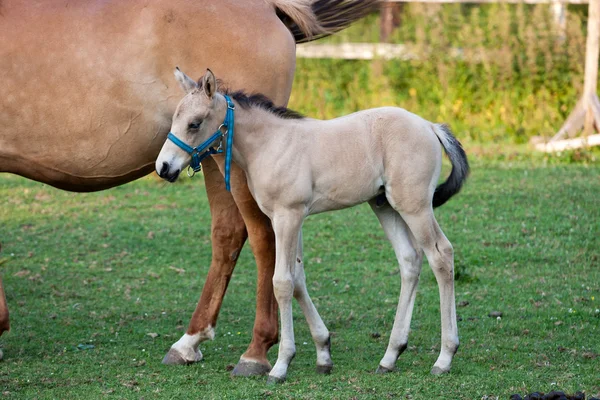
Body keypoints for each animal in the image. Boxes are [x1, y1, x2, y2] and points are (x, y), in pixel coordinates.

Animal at [0, 0, 376, 376]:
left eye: (194, 123)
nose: (163, 167)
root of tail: (270, 8)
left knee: (259, 238)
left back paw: (252, 351)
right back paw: (194, 343)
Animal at [155, 69, 468, 384]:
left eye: (194, 124)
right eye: (174, 120)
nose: (163, 168)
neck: (270, 144)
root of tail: (430, 126)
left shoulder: (288, 216)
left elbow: (282, 282)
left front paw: (281, 365)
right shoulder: (290, 218)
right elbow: (298, 279)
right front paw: (323, 353)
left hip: (413, 206)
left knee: (441, 256)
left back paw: (445, 357)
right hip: (384, 206)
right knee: (409, 260)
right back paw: (390, 356)